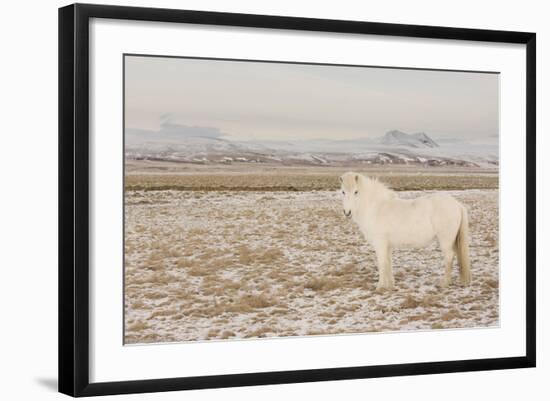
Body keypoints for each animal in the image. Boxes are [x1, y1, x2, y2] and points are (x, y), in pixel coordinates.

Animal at [340, 170, 474, 290]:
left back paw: (444, 283)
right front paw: (390, 285)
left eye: (356, 192)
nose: (347, 213)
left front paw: (380, 287)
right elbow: (388, 263)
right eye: (343, 192)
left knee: (449, 257)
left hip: (445, 240)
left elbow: (382, 264)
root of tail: (457, 205)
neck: (376, 207)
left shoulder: (380, 244)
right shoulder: (387, 246)